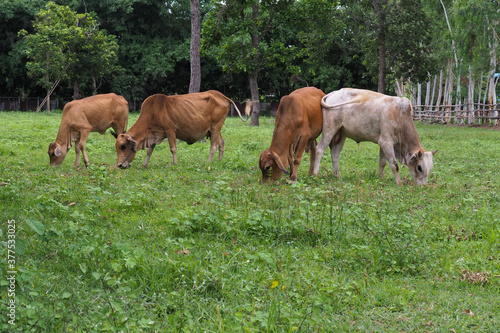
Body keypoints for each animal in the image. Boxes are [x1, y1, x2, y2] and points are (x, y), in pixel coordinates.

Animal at [114, 89, 252, 167]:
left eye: (123, 146)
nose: (119, 165)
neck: (152, 112)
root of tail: (222, 96)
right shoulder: (154, 134)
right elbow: (150, 150)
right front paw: (145, 165)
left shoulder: (170, 131)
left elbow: (173, 149)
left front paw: (175, 164)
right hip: (214, 130)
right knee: (221, 144)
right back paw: (219, 161)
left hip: (216, 127)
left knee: (214, 146)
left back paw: (208, 163)